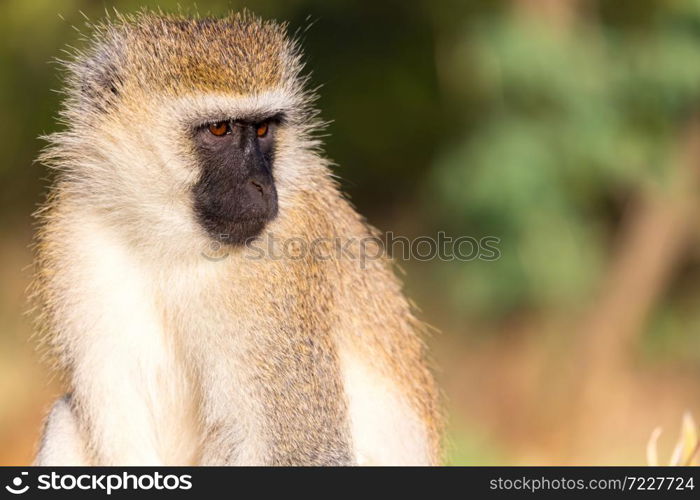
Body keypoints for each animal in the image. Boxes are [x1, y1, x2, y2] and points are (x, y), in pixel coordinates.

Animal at [32, 10, 440, 464]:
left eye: (263, 130)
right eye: (219, 129)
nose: (262, 186)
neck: (170, 241)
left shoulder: (278, 268)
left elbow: (303, 448)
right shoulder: (75, 233)